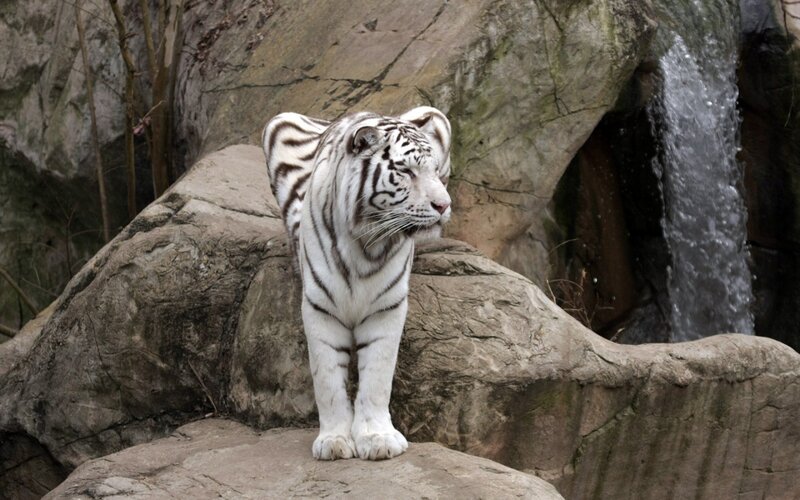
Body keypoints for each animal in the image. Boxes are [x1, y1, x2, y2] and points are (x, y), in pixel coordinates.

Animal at [262, 106, 452, 461]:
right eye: (406, 171)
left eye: (434, 171)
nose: (443, 205)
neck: (368, 243)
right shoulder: (321, 308)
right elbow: (327, 380)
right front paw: (334, 441)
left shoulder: (386, 309)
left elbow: (377, 378)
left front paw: (378, 440)